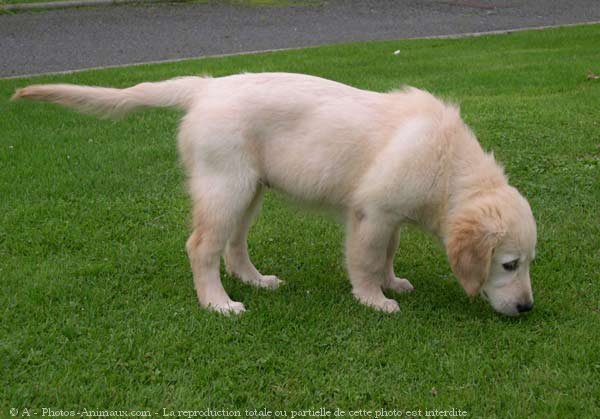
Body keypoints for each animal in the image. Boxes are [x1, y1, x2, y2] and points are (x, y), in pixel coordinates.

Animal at [11, 72, 536, 316]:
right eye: (509, 265)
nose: (527, 308)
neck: (451, 168)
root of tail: (205, 88)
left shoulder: (390, 214)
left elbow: (387, 252)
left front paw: (392, 281)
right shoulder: (371, 213)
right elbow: (365, 260)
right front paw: (374, 299)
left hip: (248, 191)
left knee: (234, 246)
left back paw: (256, 280)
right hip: (225, 184)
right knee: (202, 247)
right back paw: (218, 303)